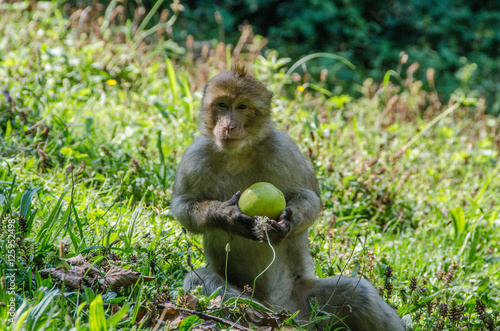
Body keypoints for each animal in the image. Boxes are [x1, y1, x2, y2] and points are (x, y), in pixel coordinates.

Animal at [170, 64, 404, 330]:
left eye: (241, 107)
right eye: (222, 105)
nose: (228, 125)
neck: (237, 153)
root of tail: (283, 311)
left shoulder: (284, 149)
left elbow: (310, 198)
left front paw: (285, 224)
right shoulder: (194, 158)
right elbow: (183, 207)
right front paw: (227, 216)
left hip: (308, 304)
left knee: (359, 294)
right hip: (263, 305)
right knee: (201, 279)